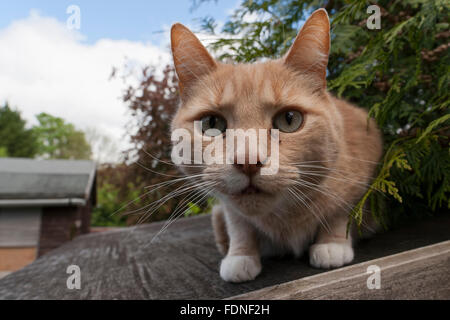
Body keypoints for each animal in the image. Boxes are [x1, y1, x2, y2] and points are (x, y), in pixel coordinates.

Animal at [169, 8, 384, 282]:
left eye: (289, 119)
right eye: (211, 123)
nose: (248, 162)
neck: (285, 217)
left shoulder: (361, 164)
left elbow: (339, 210)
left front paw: (332, 244)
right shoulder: (228, 210)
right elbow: (238, 225)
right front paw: (240, 255)